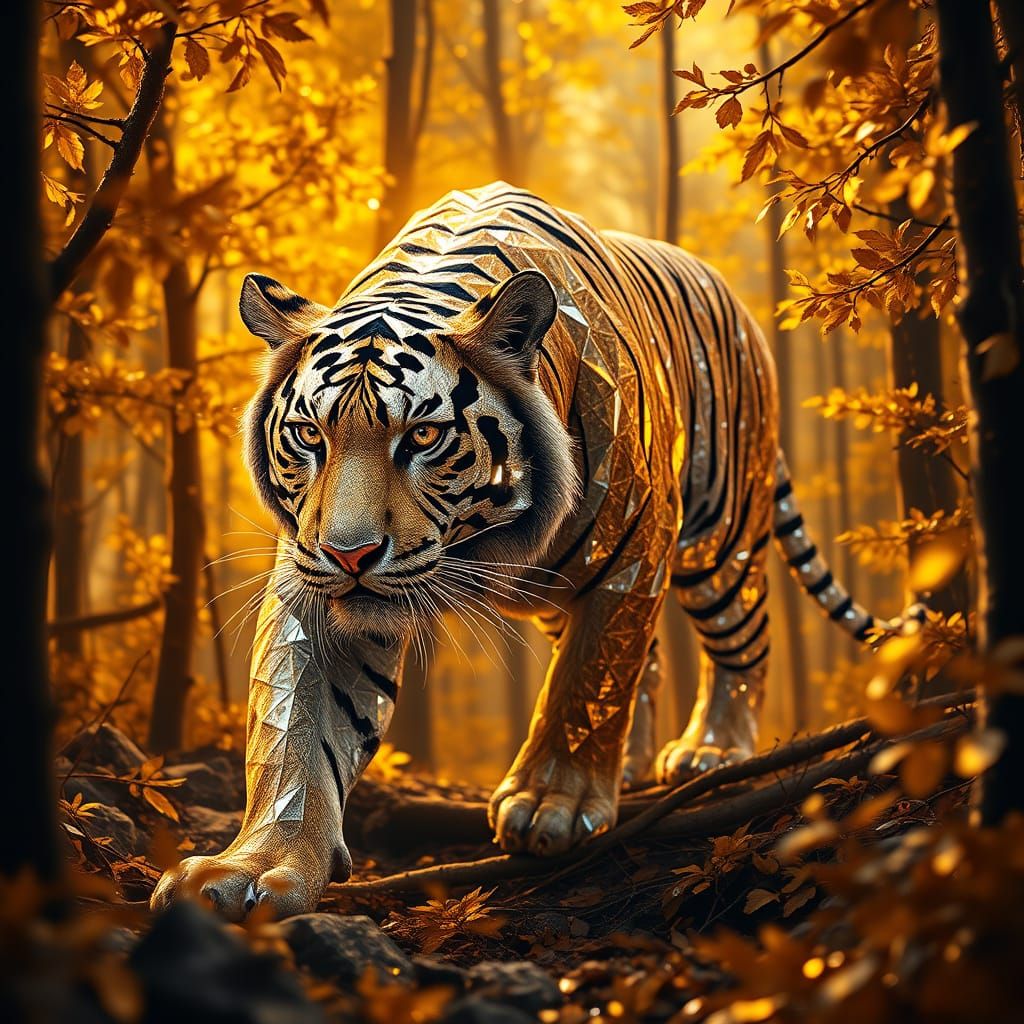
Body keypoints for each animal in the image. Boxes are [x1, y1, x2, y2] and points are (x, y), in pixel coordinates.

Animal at [151, 182, 896, 921]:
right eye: (310, 435)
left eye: (422, 438)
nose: (350, 554)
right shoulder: (314, 589)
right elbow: (295, 729)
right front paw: (255, 864)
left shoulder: (633, 546)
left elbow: (587, 677)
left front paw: (552, 803)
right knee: (649, 660)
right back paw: (630, 764)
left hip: (721, 539)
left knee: (740, 644)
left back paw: (710, 750)